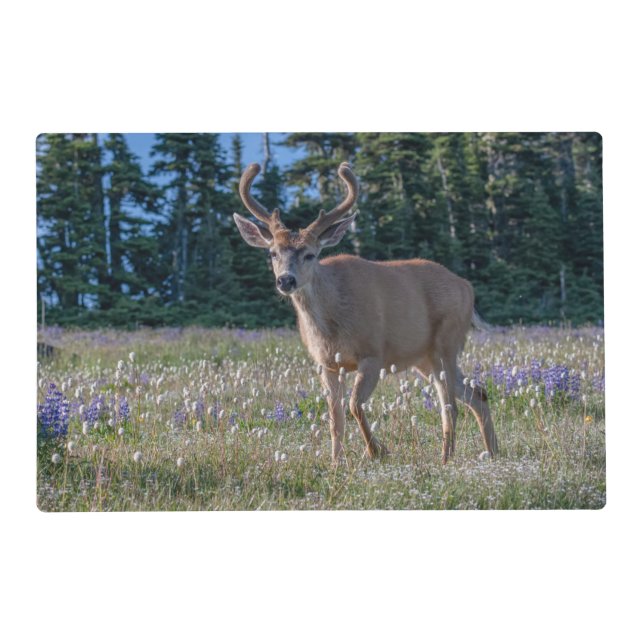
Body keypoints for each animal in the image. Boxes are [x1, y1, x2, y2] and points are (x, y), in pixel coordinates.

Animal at [233, 161, 498, 464]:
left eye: (310, 254)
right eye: (273, 253)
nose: (285, 280)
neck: (331, 323)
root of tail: (467, 287)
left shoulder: (373, 354)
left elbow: (353, 405)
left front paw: (376, 451)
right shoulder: (326, 364)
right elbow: (335, 417)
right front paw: (336, 461)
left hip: (446, 342)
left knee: (450, 405)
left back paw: (446, 458)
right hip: (424, 358)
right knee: (477, 393)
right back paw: (491, 452)